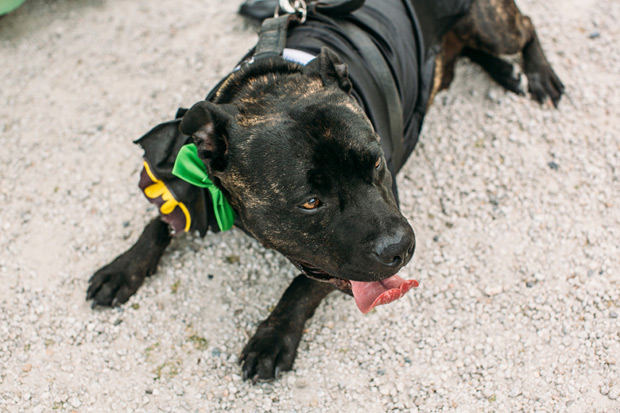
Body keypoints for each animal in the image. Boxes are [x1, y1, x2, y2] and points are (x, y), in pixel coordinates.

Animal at [86, 0, 560, 380]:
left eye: (377, 163)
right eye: (311, 202)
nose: (400, 247)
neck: (270, 82)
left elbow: (302, 285)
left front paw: (272, 337)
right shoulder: (190, 179)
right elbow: (159, 222)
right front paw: (122, 267)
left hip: (489, 22)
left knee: (526, 25)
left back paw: (537, 74)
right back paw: (507, 72)